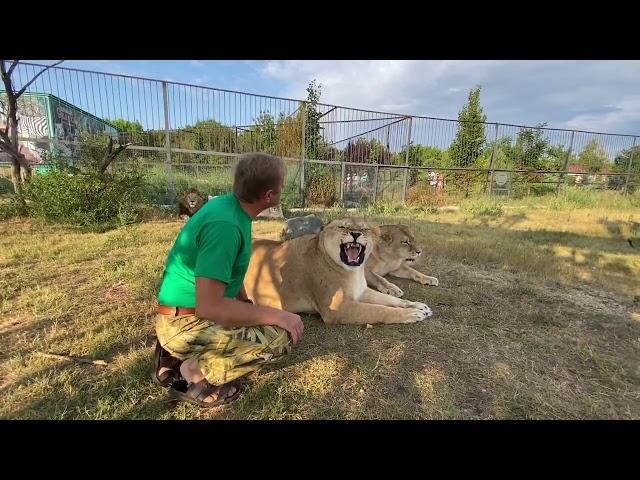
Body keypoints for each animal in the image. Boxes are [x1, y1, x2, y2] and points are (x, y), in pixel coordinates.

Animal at [245, 218, 436, 326]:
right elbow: (380, 310)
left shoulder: (361, 291)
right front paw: (412, 314)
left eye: (364, 229)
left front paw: (417, 305)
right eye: (343, 227)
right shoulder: (336, 309)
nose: (356, 233)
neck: (353, 271)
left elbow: (390, 300)